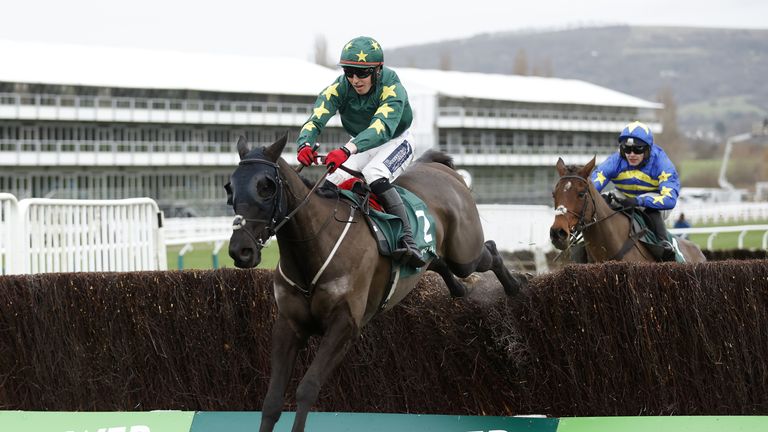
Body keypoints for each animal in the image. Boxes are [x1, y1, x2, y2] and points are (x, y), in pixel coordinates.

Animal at [228, 135, 528, 432]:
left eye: (266, 186)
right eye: (229, 187)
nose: (240, 251)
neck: (317, 244)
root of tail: (441, 169)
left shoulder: (344, 326)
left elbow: (307, 388)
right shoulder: (288, 326)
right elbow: (272, 401)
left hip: (465, 254)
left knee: (488, 251)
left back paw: (514, 285)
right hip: (437, 255)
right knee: (436, 262)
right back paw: (459, 288)